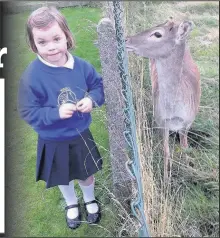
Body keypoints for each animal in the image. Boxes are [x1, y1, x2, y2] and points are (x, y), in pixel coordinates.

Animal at [124, 17, 200, 180]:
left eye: (158, 34)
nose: (126, 39)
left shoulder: (188, 123)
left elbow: (185, 147)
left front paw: (187, 169)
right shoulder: (161, 121)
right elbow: (166, 152)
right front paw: (165, 179)